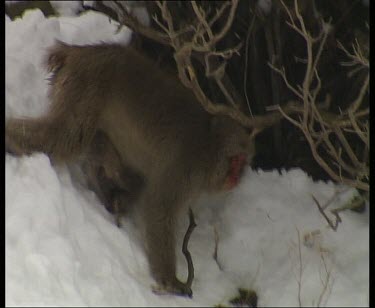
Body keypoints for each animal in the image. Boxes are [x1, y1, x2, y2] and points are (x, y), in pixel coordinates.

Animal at [5, 41, 256, 296]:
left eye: (242, 163)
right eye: (236, 161)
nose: (237, 177)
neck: (208, 147)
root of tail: (79, 51)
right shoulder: (183, 168)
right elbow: (158, 208)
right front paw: (169, 280)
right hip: (86, 84)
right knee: (67, 137)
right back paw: (12, 140)